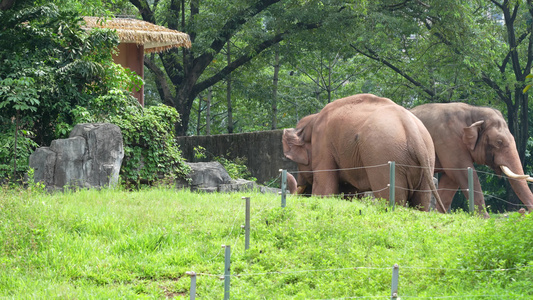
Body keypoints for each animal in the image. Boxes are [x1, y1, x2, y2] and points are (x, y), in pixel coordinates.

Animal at [282, 94, 444, 211]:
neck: (313, 120)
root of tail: (412, 129)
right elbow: (350, 192)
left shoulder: (322, 145)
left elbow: (324, 189)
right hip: (427, 159)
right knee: (421, 201)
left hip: (383, 156)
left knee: (390, 199)